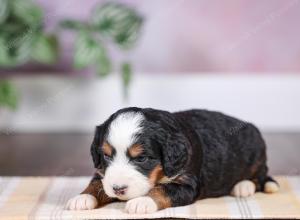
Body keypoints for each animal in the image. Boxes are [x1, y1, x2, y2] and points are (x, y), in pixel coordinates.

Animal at [66, 107, 278, 214]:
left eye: (142, 158)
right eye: (107, 155)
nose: (118, 189)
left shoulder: (188, 183)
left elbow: (163, 190)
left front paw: (142, 201)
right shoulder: (102, 172)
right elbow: (96, 184)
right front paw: (82, 198)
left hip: (257, 153)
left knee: (261, 175)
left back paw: (243, 186)